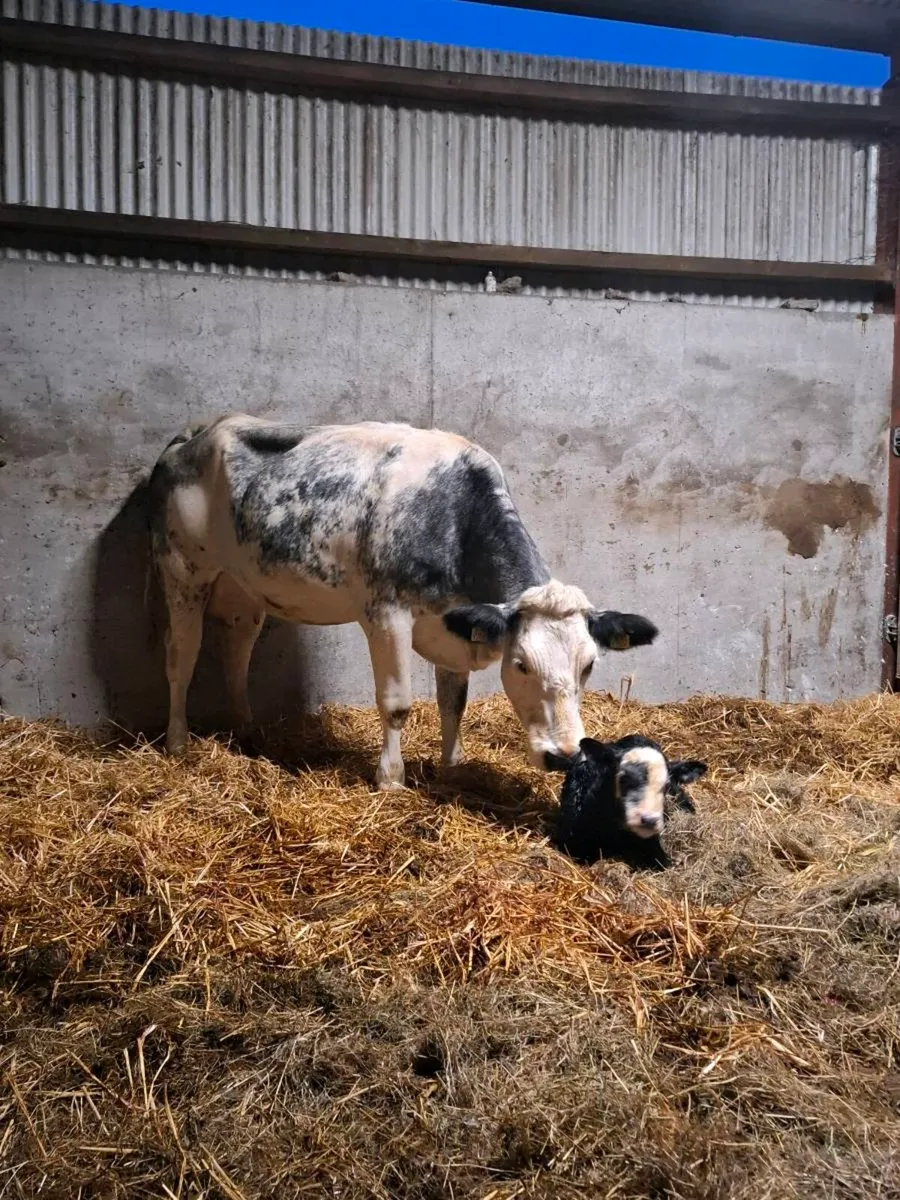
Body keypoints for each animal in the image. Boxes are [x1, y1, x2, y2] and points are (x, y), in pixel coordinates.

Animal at [148, 415, 659, 790]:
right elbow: (397, 704)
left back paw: (248, 731)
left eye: (588, 665)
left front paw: (453, 766)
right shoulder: (385, 614)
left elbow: (454, 701)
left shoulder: (454, 623)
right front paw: (391, 780)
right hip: (182, 569)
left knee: (236, 651)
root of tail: (196, 432)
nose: (565, 756)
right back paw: (178, 743)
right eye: (520, 665)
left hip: (243, 586)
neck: (451, 519)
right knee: (180, 656)